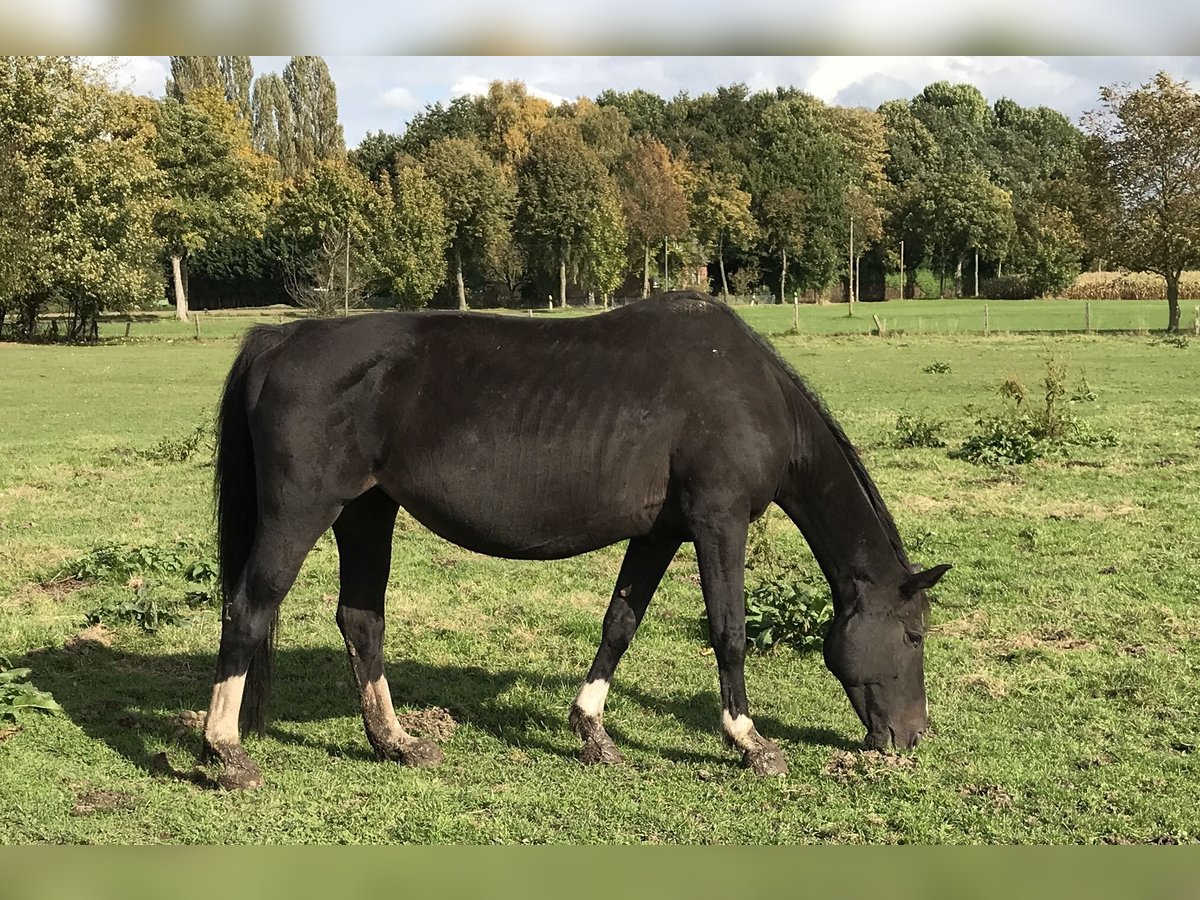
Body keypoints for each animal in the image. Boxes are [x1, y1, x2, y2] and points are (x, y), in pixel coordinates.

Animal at [204, 294, 945, 787]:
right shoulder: (719, 522)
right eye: (913, 636)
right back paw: (226, 752)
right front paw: (750, 741)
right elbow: (729, 632)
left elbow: (620, 623)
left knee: (361, 620)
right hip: (301, 512)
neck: (750, 392)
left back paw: (397, 742)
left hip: (365, 513)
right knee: (247, 611)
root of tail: (279, 340)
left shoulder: (660, 534)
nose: (911, 737)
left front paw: (591, 731)